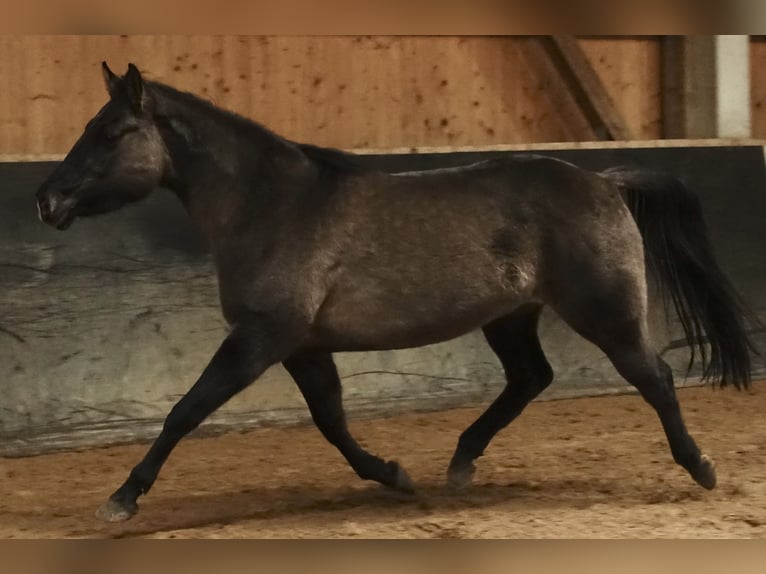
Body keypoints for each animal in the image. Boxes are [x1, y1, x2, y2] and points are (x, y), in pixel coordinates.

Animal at [33, 63, 760, 528]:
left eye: (112, 133)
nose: (47, 199)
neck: (269, 205)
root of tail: (604, 180)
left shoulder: (261, 337)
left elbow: (185, 411)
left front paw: (122, 499)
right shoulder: (301, 345)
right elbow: (331, 421)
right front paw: (395, 475)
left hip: (605, 310)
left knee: (654, 376)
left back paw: (700, 468)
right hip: (511, 317)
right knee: (530, 378)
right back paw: (461, 464)